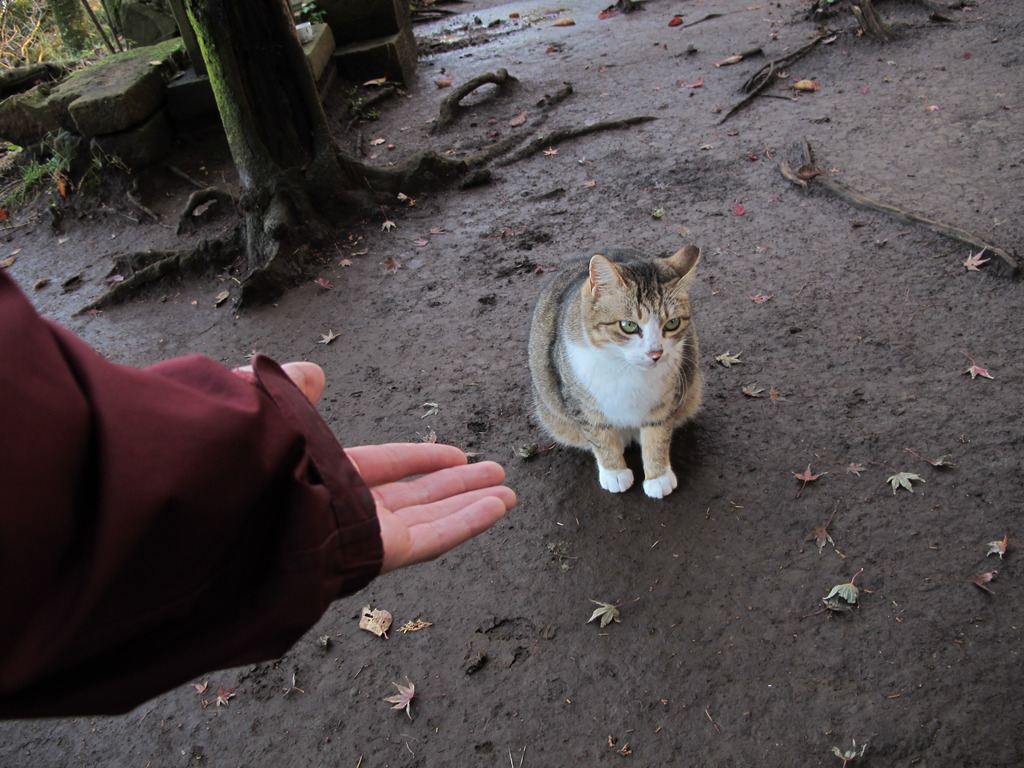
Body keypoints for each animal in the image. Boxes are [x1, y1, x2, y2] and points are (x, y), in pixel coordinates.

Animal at [528, 246, 704, 499]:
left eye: (672, 323)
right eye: (628, 326)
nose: (656, 353)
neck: (626, 367)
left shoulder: (665, 399)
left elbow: (658, 435)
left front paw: (657, 476)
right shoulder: (581, 404)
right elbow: (600, 437)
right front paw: (615, 472)